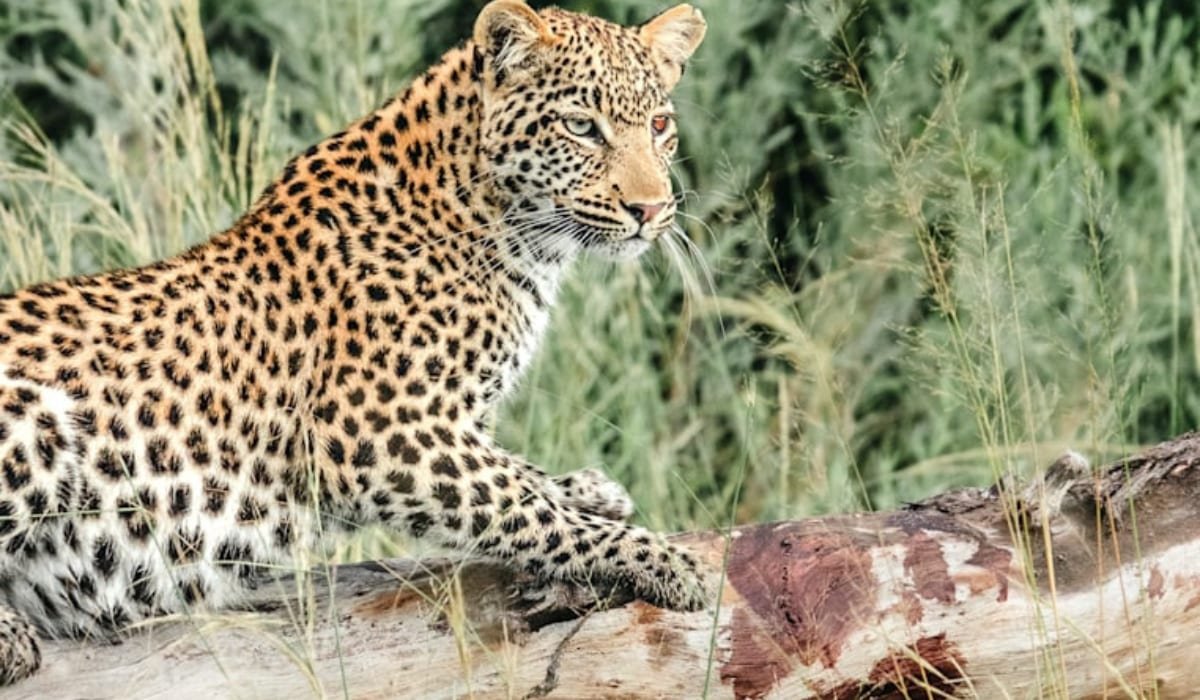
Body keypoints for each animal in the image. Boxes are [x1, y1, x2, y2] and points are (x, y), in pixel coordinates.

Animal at [0, 0, 709, 684]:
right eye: (581, 127)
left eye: (659, 125)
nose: (651, 209)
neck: (512, 232)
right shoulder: (374, 429)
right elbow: (526, 509)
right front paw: (667, 562)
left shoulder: (451, 426)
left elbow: (524, 478)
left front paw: (591, 489)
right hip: (36, 418)